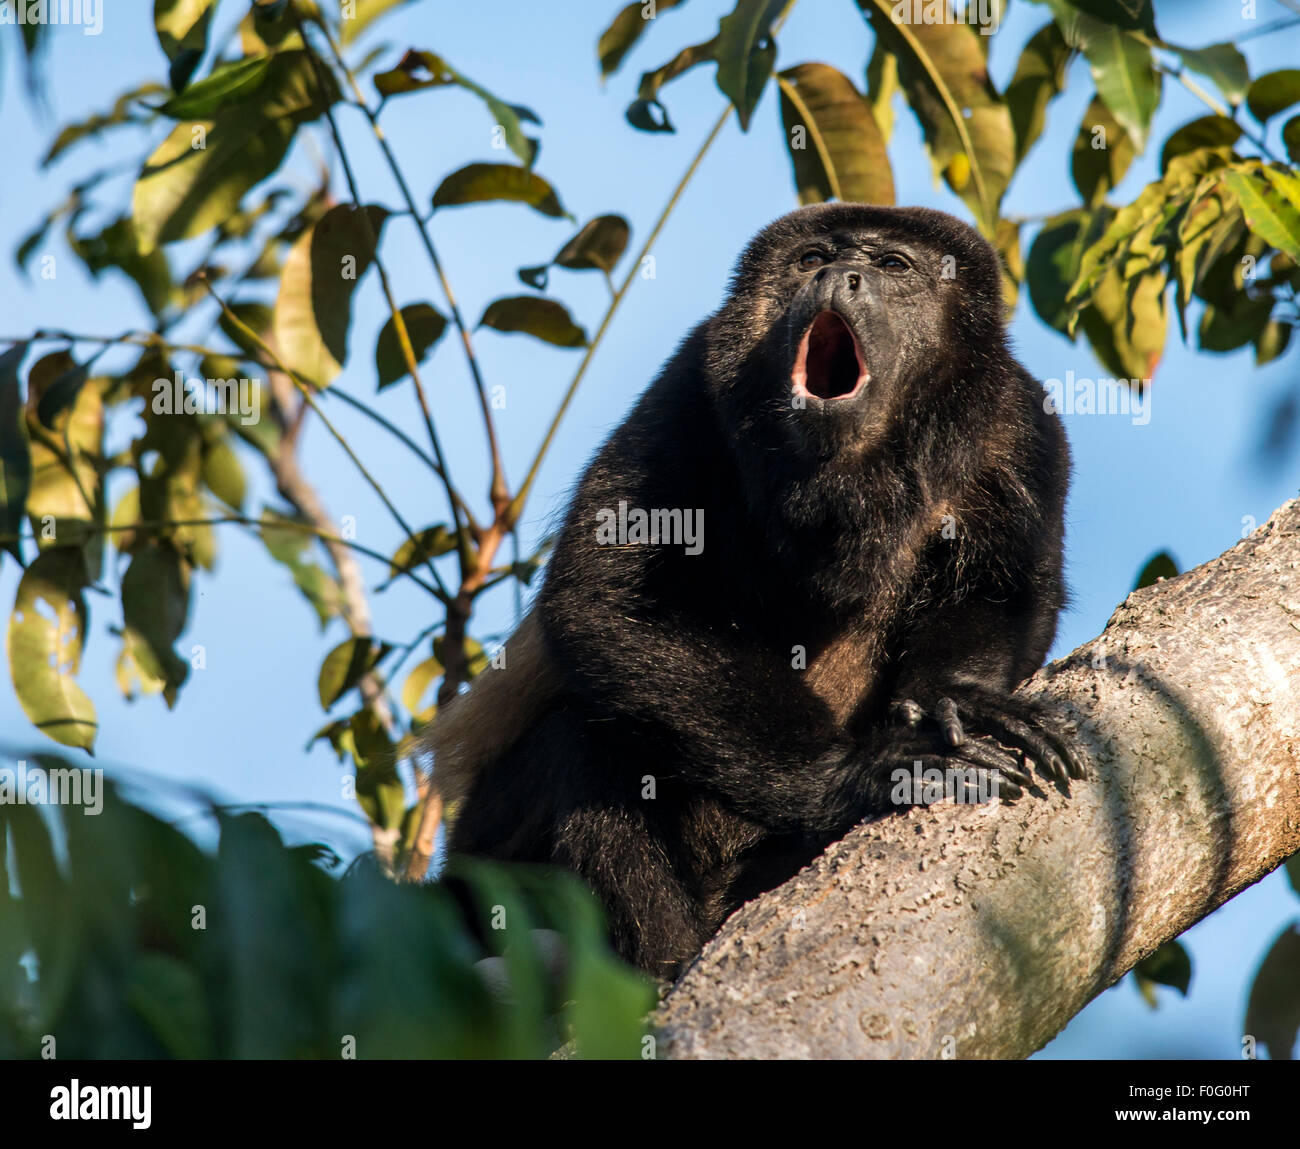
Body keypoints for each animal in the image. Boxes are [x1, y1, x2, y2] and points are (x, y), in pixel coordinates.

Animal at [431, 201, 1081, 972]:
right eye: (812, 258)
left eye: (894, 265)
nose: (839, 275)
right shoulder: (689, 384)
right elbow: (602, 599)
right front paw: (855, 770)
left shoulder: (1019, 420)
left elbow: (1008, 589)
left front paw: (964, 697)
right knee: (576, 745)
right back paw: (668, 965)